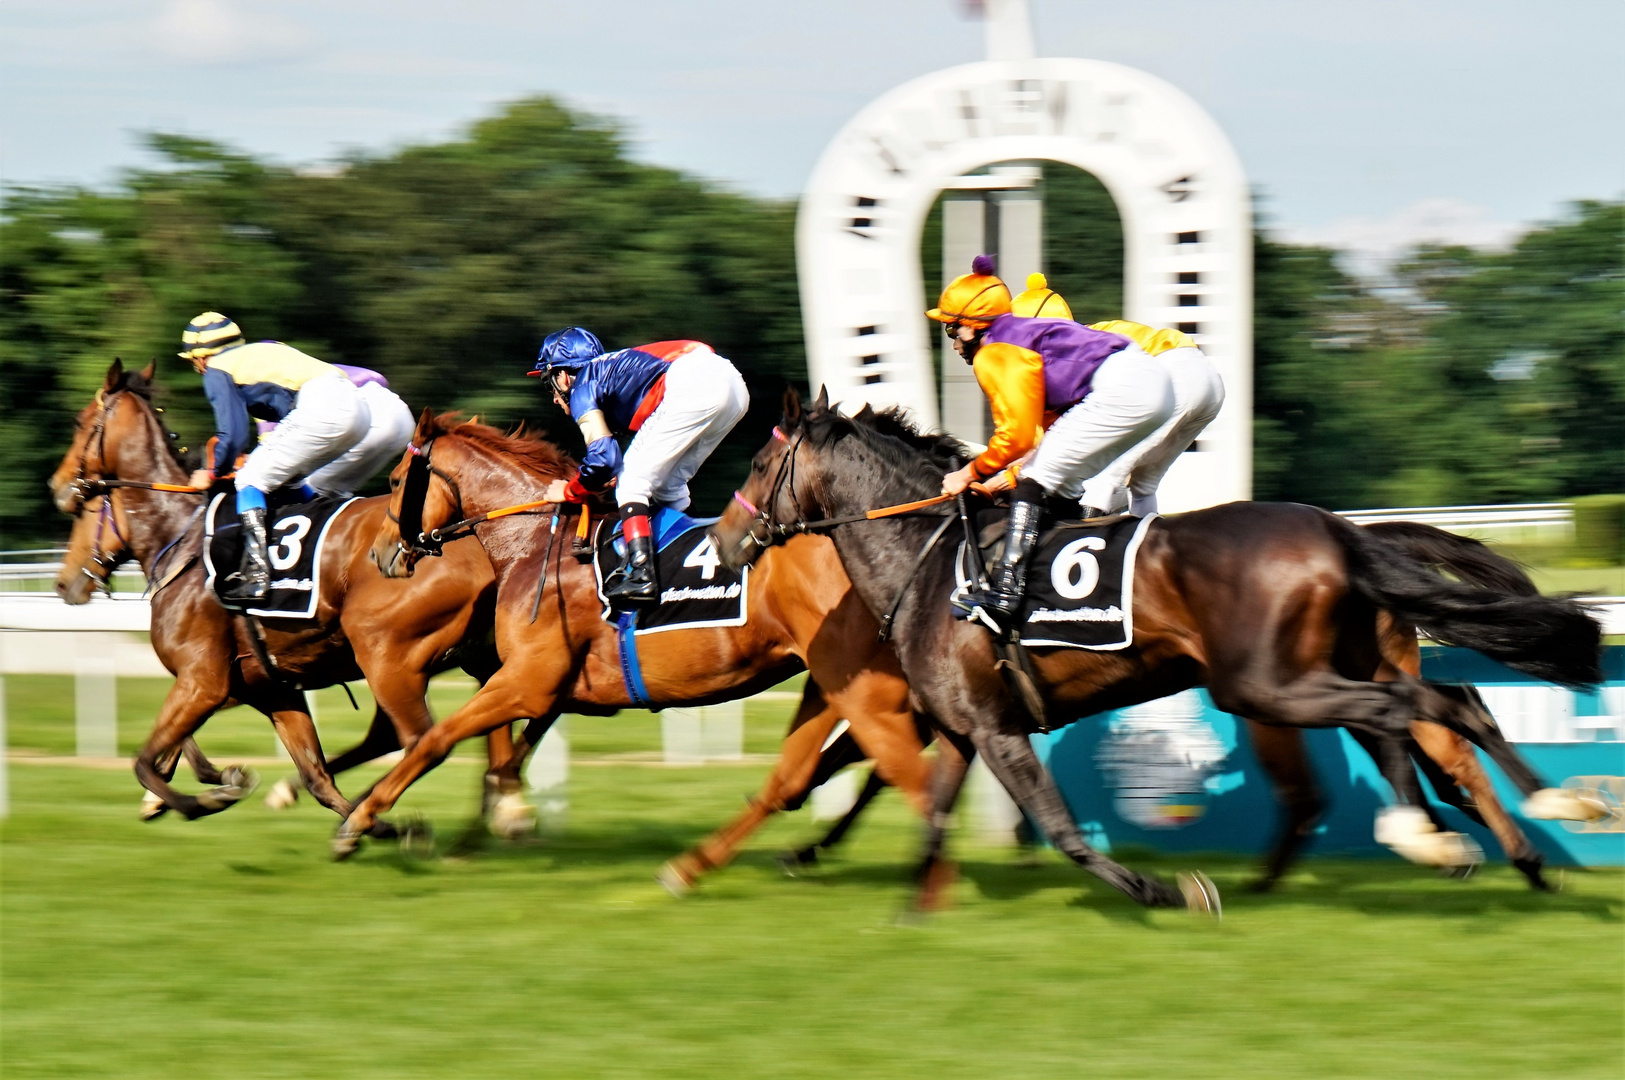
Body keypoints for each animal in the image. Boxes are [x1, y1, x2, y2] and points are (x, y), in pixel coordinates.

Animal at [47, 360, 526, 825]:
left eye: (80, 422)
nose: (58, 488)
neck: (183, 540)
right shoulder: (270, 687)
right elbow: (315, 774)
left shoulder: (203, 681)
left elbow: (145, 761)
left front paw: (204, 795)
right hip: (465, 657)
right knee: (472, 722)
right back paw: (499, 805)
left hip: (386, 655)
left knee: (421, 737)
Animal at [718, 391, 1605, 915]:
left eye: (759, 462)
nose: (726, 543)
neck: (933, 565)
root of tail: (1338, 532)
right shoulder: (966, 728)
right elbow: (927, 811)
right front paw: (906, 901)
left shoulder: (997, 730)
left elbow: (1065, 831)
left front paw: (1170, 890)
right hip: (1324, 670)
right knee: (1445, 710)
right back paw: (1516, 827)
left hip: (1267, 686)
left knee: (1407, 720)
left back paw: (1466, 835)